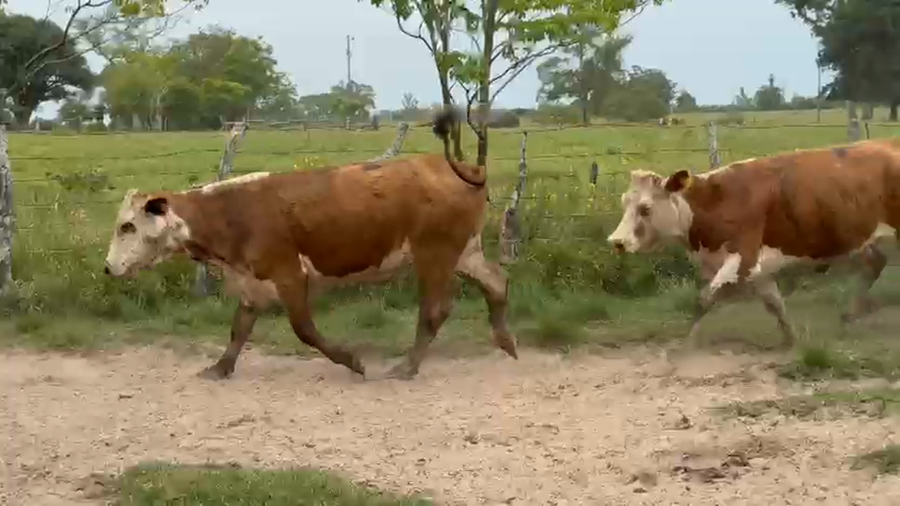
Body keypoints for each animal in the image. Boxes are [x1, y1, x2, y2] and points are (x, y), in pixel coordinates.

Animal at [102, 108, 518, 380]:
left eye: (127, 226)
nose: (108, 267)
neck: (234, 210)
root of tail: (459, 167)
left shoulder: (289, 275)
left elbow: (304, 329)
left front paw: (353, 361)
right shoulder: (252, 282)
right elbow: (239, 328)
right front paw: (219, 368)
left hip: (434, 254)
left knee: (434, 309)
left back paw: (407, 367)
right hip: (464, 251)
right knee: (496, 283)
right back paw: (506, 342)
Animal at [606, 139, 900, 348]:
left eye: (645, 208)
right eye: (624, 203)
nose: (616, 241)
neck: (717, 201)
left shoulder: (741, 258)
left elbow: (703, 300)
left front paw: (682, 347)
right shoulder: (757, 268)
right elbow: (774, 303)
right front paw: (791, 339)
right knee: (875, 265)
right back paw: (848, 317)